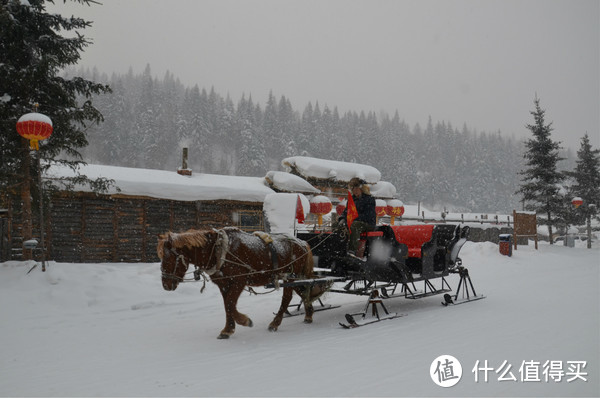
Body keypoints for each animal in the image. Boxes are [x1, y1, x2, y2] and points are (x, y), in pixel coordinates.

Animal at [157, 227, 328, 338]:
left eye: (169, 258)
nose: (165, 285)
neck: (219, 250)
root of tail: (302, 243)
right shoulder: (223, 284)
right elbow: (227, 305)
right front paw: (228, 329)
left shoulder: (239, 281)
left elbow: (231, 304)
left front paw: (244, 321)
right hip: (294, 277)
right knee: (303, 291)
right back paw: (309, 313)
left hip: (290, 276)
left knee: (287, 298)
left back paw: (275, 323)